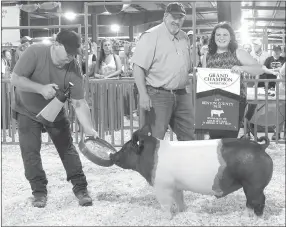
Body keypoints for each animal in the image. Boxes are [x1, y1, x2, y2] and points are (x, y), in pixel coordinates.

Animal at [108, 125, 272, 219]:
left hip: (253, 184)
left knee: (257, 201)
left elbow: (165, 203)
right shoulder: (175, 185)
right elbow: (179, 199)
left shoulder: (162, 185)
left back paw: (252, 219)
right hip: (252, 186)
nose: (112, 155)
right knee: (254, 201)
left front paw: (164, 218)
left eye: (125, 148)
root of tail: (260, 147)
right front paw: (182, 211)